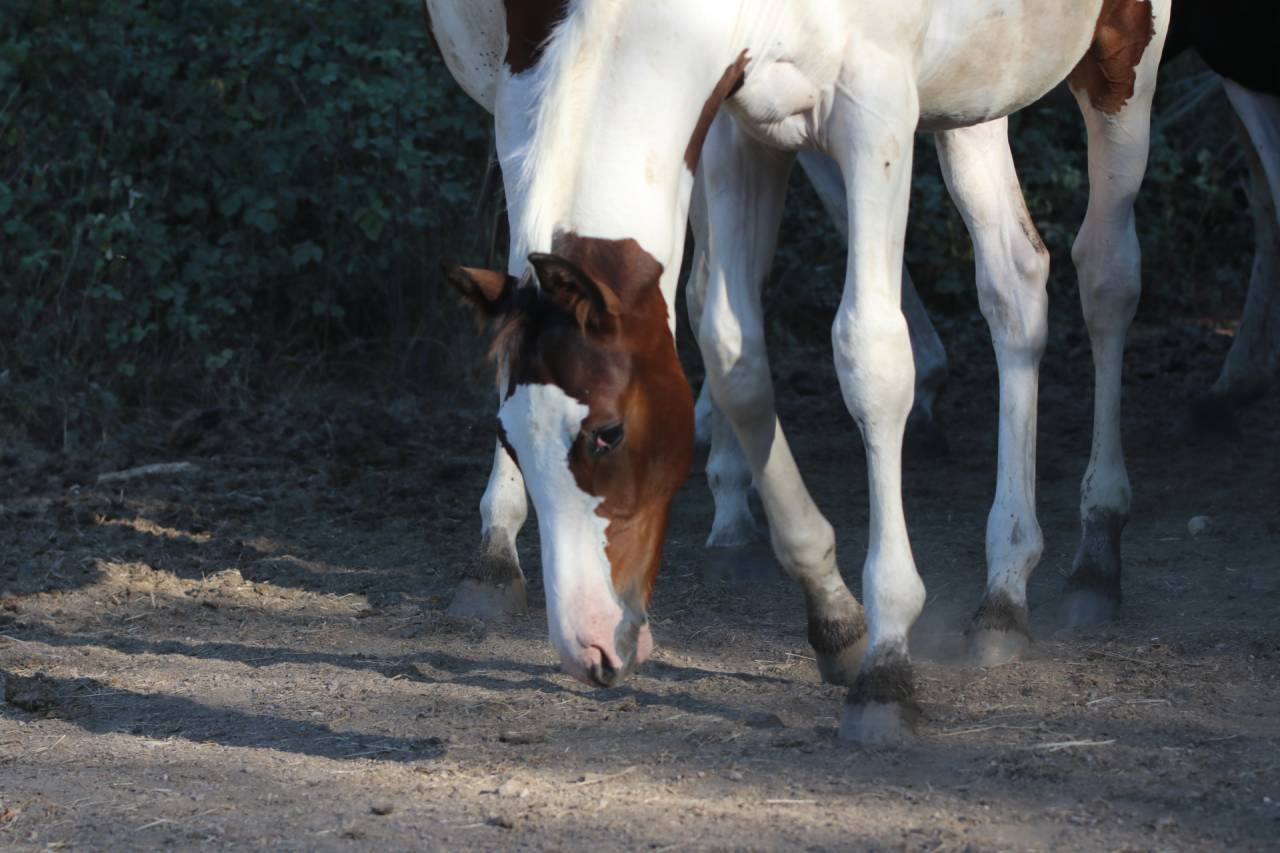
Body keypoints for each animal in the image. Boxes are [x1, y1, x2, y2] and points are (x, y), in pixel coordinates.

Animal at [428, 0, 1169, 742]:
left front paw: (886, 662)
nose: (590, 646)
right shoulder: (737, 127)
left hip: (1124, 61)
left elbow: (871, 357)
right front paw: (834, 618)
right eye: (508, 440)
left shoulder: (876, 113)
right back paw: (1004, 595)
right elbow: (731, 349)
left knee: (1106, 276)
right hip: (976, 99)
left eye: (607, 434)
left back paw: (1097, 554)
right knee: (1014, 286)